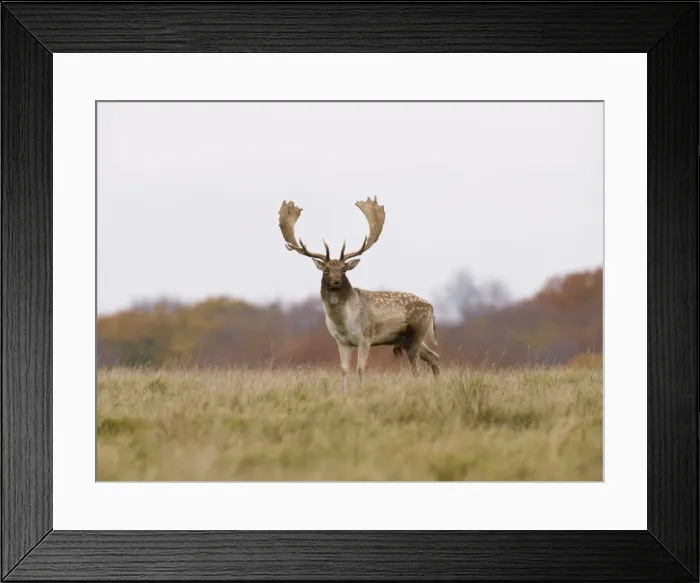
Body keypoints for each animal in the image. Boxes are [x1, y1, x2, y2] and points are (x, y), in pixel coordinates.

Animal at [278, 196, 440, 389]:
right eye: (326, 270)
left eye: (344, 269)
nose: (336, 281)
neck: (343, 322)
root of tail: (431, 307)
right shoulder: (341, 341)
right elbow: (344, 370)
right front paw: (346, 392)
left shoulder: (366, 337)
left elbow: (360, 368)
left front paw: (361, 390)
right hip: (405, 339)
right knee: (433, 356)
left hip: (416, 333)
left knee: (417, 366)